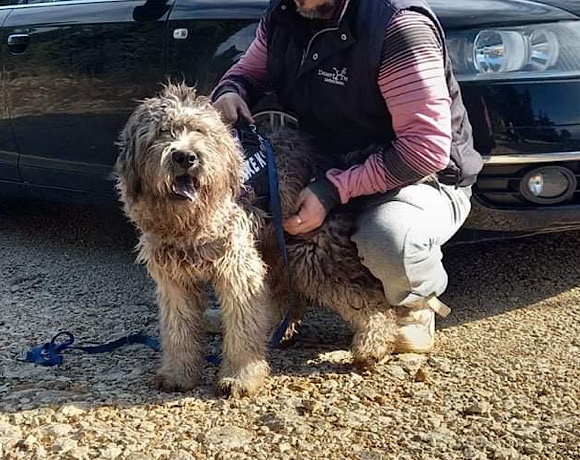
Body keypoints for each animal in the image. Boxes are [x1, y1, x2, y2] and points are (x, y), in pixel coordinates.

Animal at [114, 83, 396, 397]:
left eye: (199, 131)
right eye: (161, 132)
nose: (185, 157)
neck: (189, 222)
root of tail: (326, 160)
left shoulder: (236, 268)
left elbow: (242, 327)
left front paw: (240, 377)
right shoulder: (174, 279)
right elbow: (178, 329)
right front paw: (179, 373)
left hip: (308, 252)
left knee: (369, 295)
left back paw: (373, 344)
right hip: (274, 246)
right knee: (285, 293)